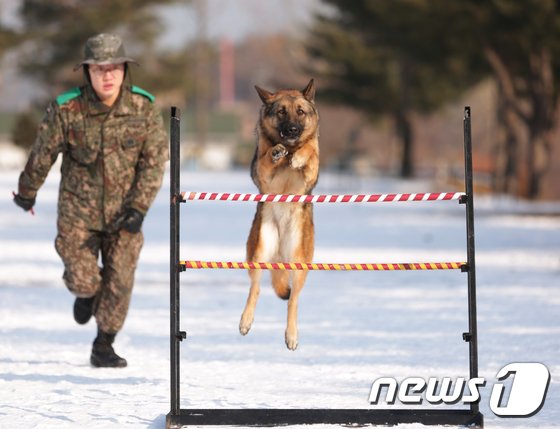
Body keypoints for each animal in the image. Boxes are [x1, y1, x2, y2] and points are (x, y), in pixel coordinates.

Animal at [240, 78, 320, 350]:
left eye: (301, 112)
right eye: (282, 112)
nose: (293, 130)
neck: (290, 147)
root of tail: (280, 252)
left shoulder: (312, 169)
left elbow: (310, 153)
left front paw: (299, 157)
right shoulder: (263, 171)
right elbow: (267, 157)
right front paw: (276, 152)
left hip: (299, 261)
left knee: (293, 299)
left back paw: (291, 334)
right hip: (259, 250)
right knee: (255, 288)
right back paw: (245, 321)